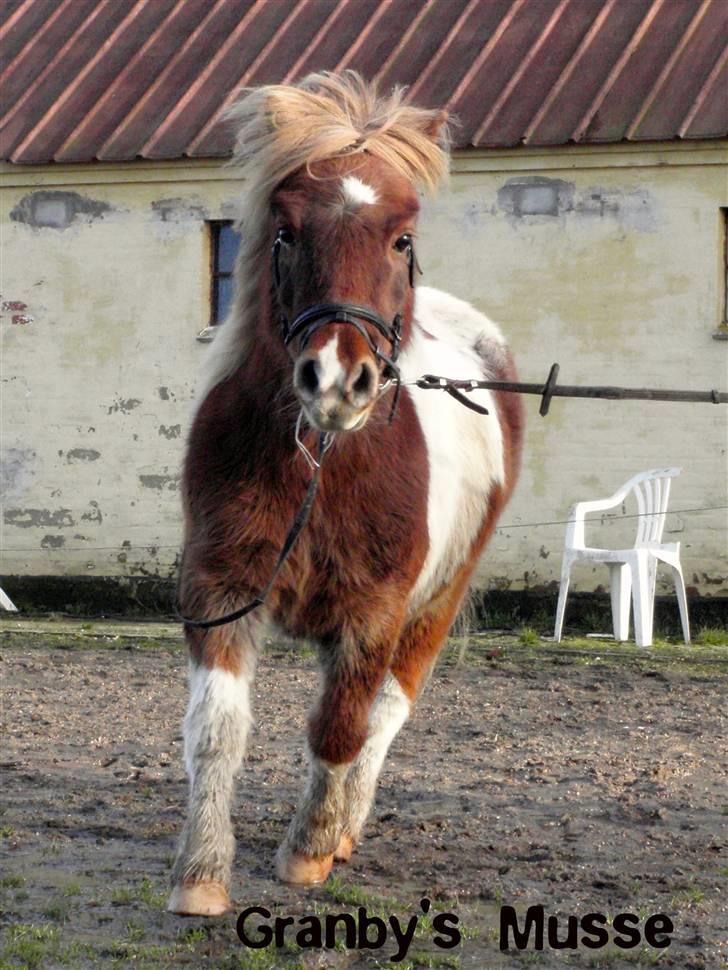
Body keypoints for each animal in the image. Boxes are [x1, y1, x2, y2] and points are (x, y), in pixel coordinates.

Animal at [169, 72, 524, 912]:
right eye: (287, 232)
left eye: (402, 238)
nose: (337, 380)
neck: (322, 466)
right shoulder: (219, 590)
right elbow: (216, 731)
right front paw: (201, 874)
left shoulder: (377, 613)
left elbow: (342, 726)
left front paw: (306, 851)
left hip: (437, 601)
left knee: (387, 714)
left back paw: (342, 831)